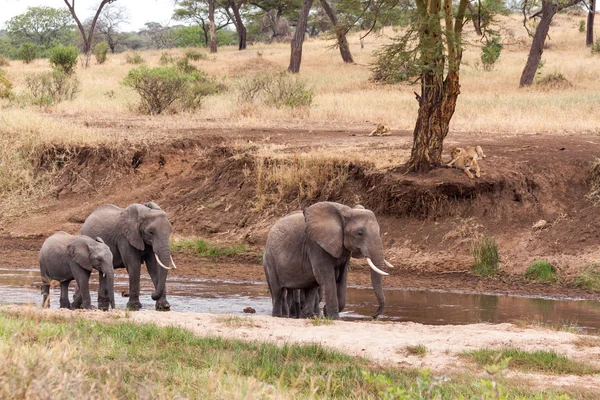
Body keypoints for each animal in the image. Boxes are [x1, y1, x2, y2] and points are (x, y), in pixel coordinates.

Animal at [262, 202, 394, 320]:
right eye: (360, 233)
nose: (373, 316)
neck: (346, 212)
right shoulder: (316, 245)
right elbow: (326, 276)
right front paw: (333, 317)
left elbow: (342, 278)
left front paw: (326, 312)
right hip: (270, 259)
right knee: (278, 291)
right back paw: (280, 316)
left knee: (309, 288)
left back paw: (307, 316)